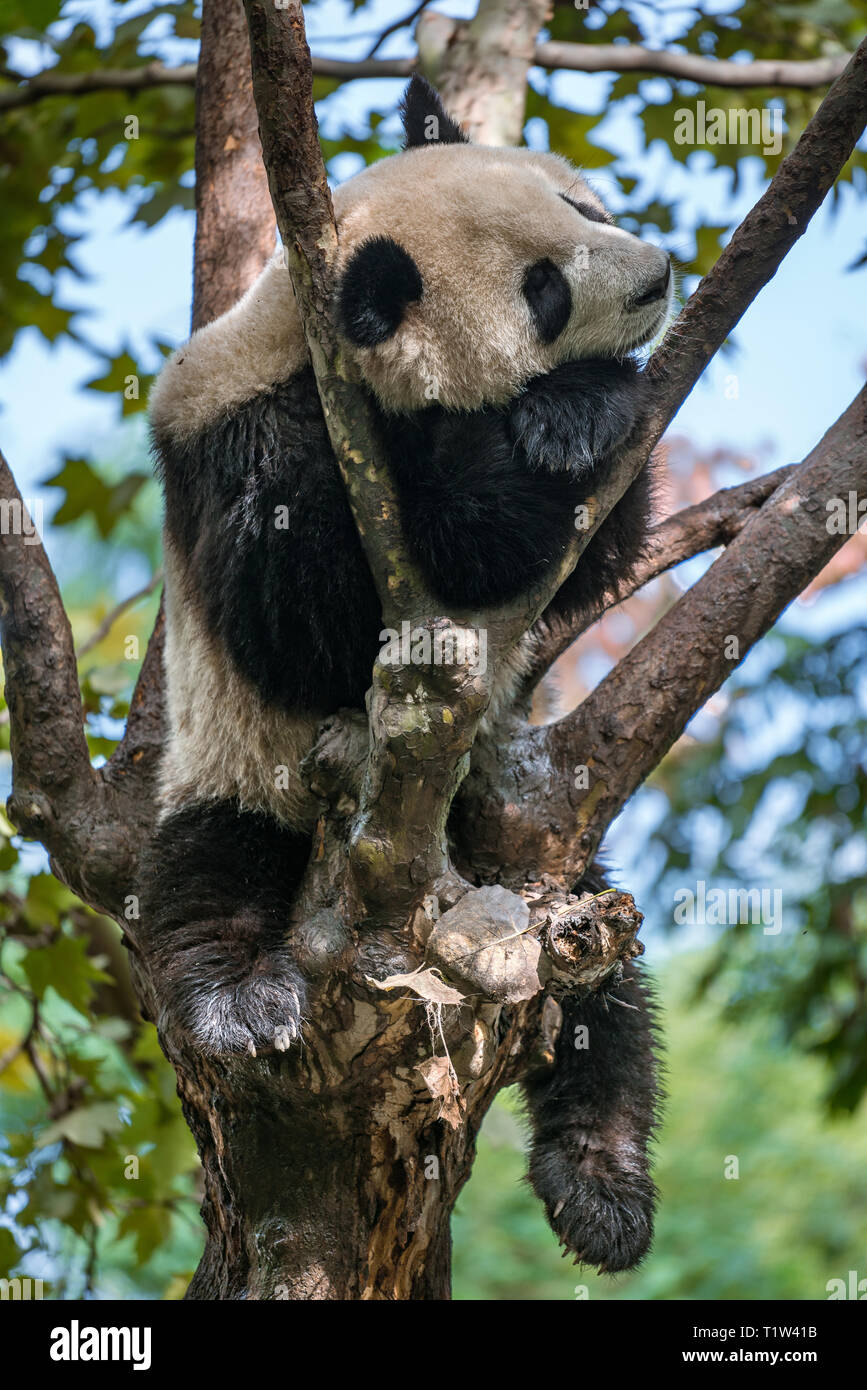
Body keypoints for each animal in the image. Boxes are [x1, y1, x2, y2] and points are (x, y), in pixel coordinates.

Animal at [142, 76, 670, 1272]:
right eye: (543, 289)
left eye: (588, 204)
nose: (659, 274)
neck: (307, 336)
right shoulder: (251, 434)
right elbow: (310, 616)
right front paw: (547, 420)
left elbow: (584, 561)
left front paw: (576, 415)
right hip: (234, 777)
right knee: (200, 884)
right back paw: (241, 1002)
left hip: (538, 871)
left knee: (607, 998)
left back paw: (602, 1188)